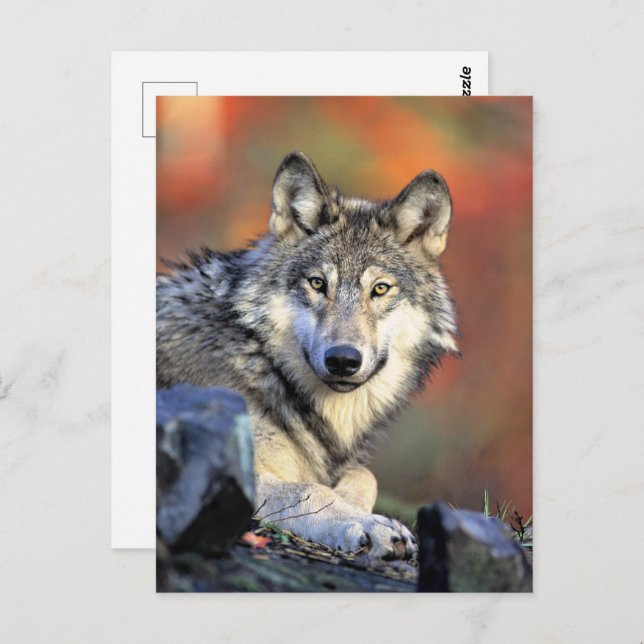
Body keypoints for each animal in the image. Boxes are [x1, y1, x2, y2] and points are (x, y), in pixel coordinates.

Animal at [157, 151, 458, 560]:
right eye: (317, 283)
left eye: (380, 289)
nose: (343, 360)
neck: (264, 364)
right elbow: (310, 490)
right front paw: (367, 525)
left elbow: (365, 475)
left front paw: (360, 509)